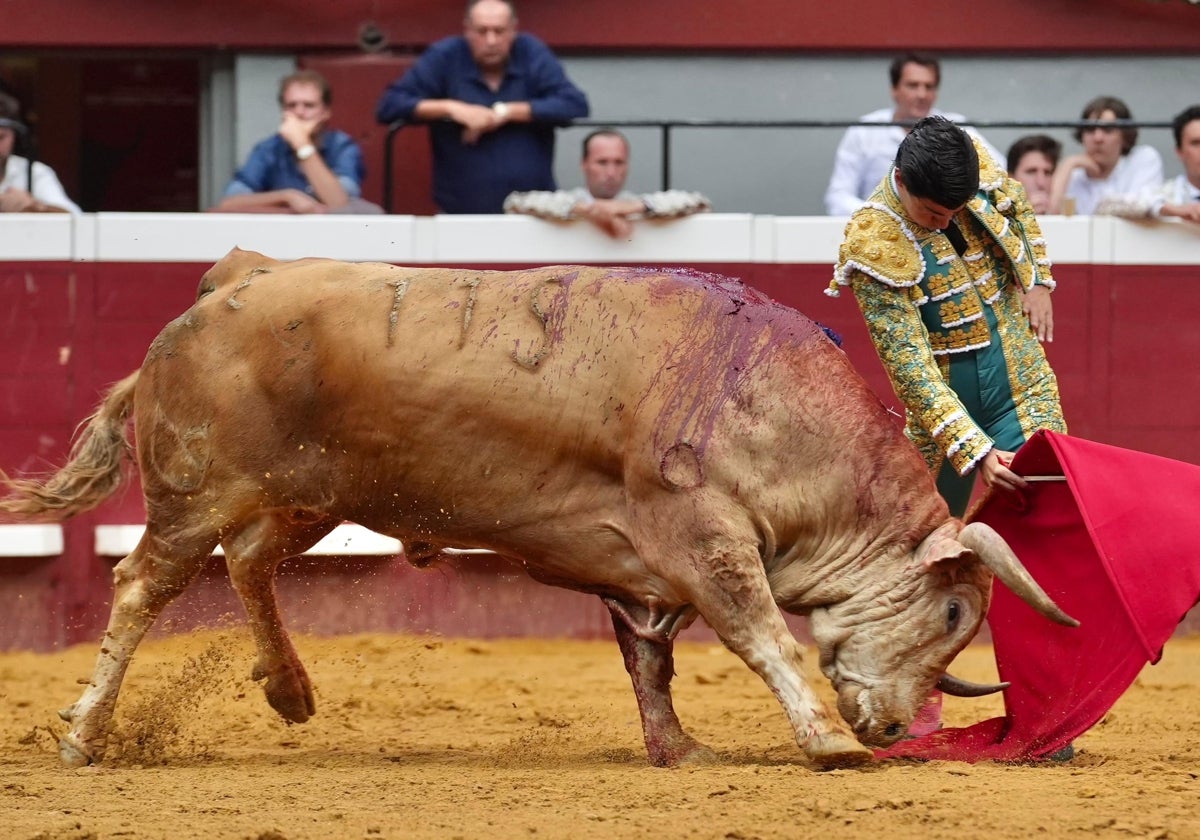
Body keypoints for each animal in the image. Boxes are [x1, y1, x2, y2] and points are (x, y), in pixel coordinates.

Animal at [2, 247, 1080, 768]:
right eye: (955, 610)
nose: (894, 730)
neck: (774, 407)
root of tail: (230, 280)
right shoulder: (704, 536)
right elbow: (761, 633)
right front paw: (821, 740)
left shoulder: (644, 567)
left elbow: (651, 660)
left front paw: (680, 750)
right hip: (196, 492)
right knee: (143, 584)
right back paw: (84, 736)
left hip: (309, 496)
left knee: (250, 563)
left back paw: (291, 691)